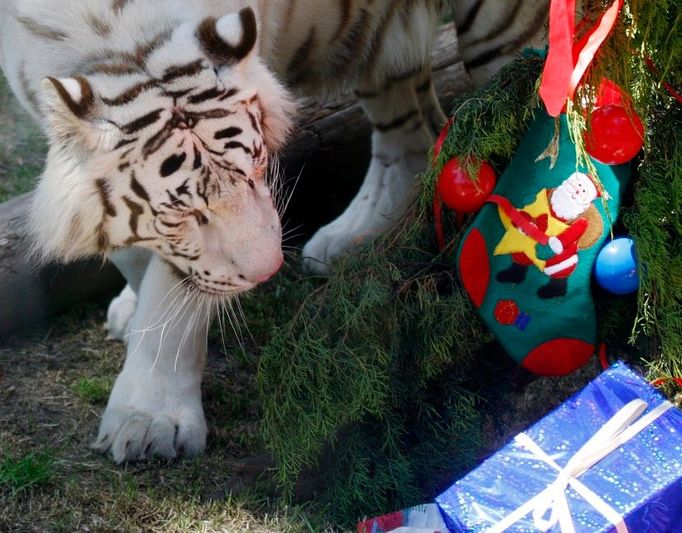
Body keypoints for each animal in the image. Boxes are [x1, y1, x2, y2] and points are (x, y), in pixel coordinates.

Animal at [0, 0, 544, 462]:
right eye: (181, 213)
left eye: (257, 166)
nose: (268, 271)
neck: (120, 45)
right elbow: (132, 253)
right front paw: (132, 314)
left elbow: (175, 293)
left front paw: (149, 419)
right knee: (411, 133)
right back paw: (356, 235)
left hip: (502, 33)